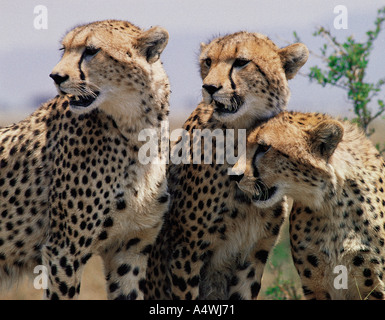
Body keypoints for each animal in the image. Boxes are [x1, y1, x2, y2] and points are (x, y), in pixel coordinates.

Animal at [0, 20, 170, 300]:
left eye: (91, 51)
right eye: (64, 49)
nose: (56, 77)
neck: (136, 132)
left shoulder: (130, 249)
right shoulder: (63, 251)